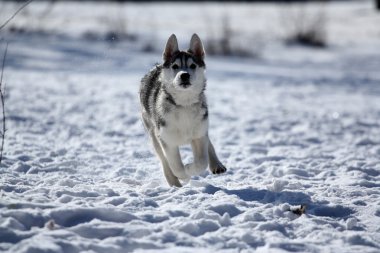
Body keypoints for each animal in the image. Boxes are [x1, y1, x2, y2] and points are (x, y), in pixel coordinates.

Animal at [141, 33, 227, 187]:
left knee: (207, 143)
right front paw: (184, 175)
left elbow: (202, 161)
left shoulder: (198, 135)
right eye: (175, 66)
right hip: (153, 134)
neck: (184, 104)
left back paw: (216, 164)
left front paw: (190, 168)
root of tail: (156, 67)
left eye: (193, 65)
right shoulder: (167, 140)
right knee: (164, 162)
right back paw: (174, 182)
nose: (184, 75)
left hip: (201, 126)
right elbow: (175, 165)